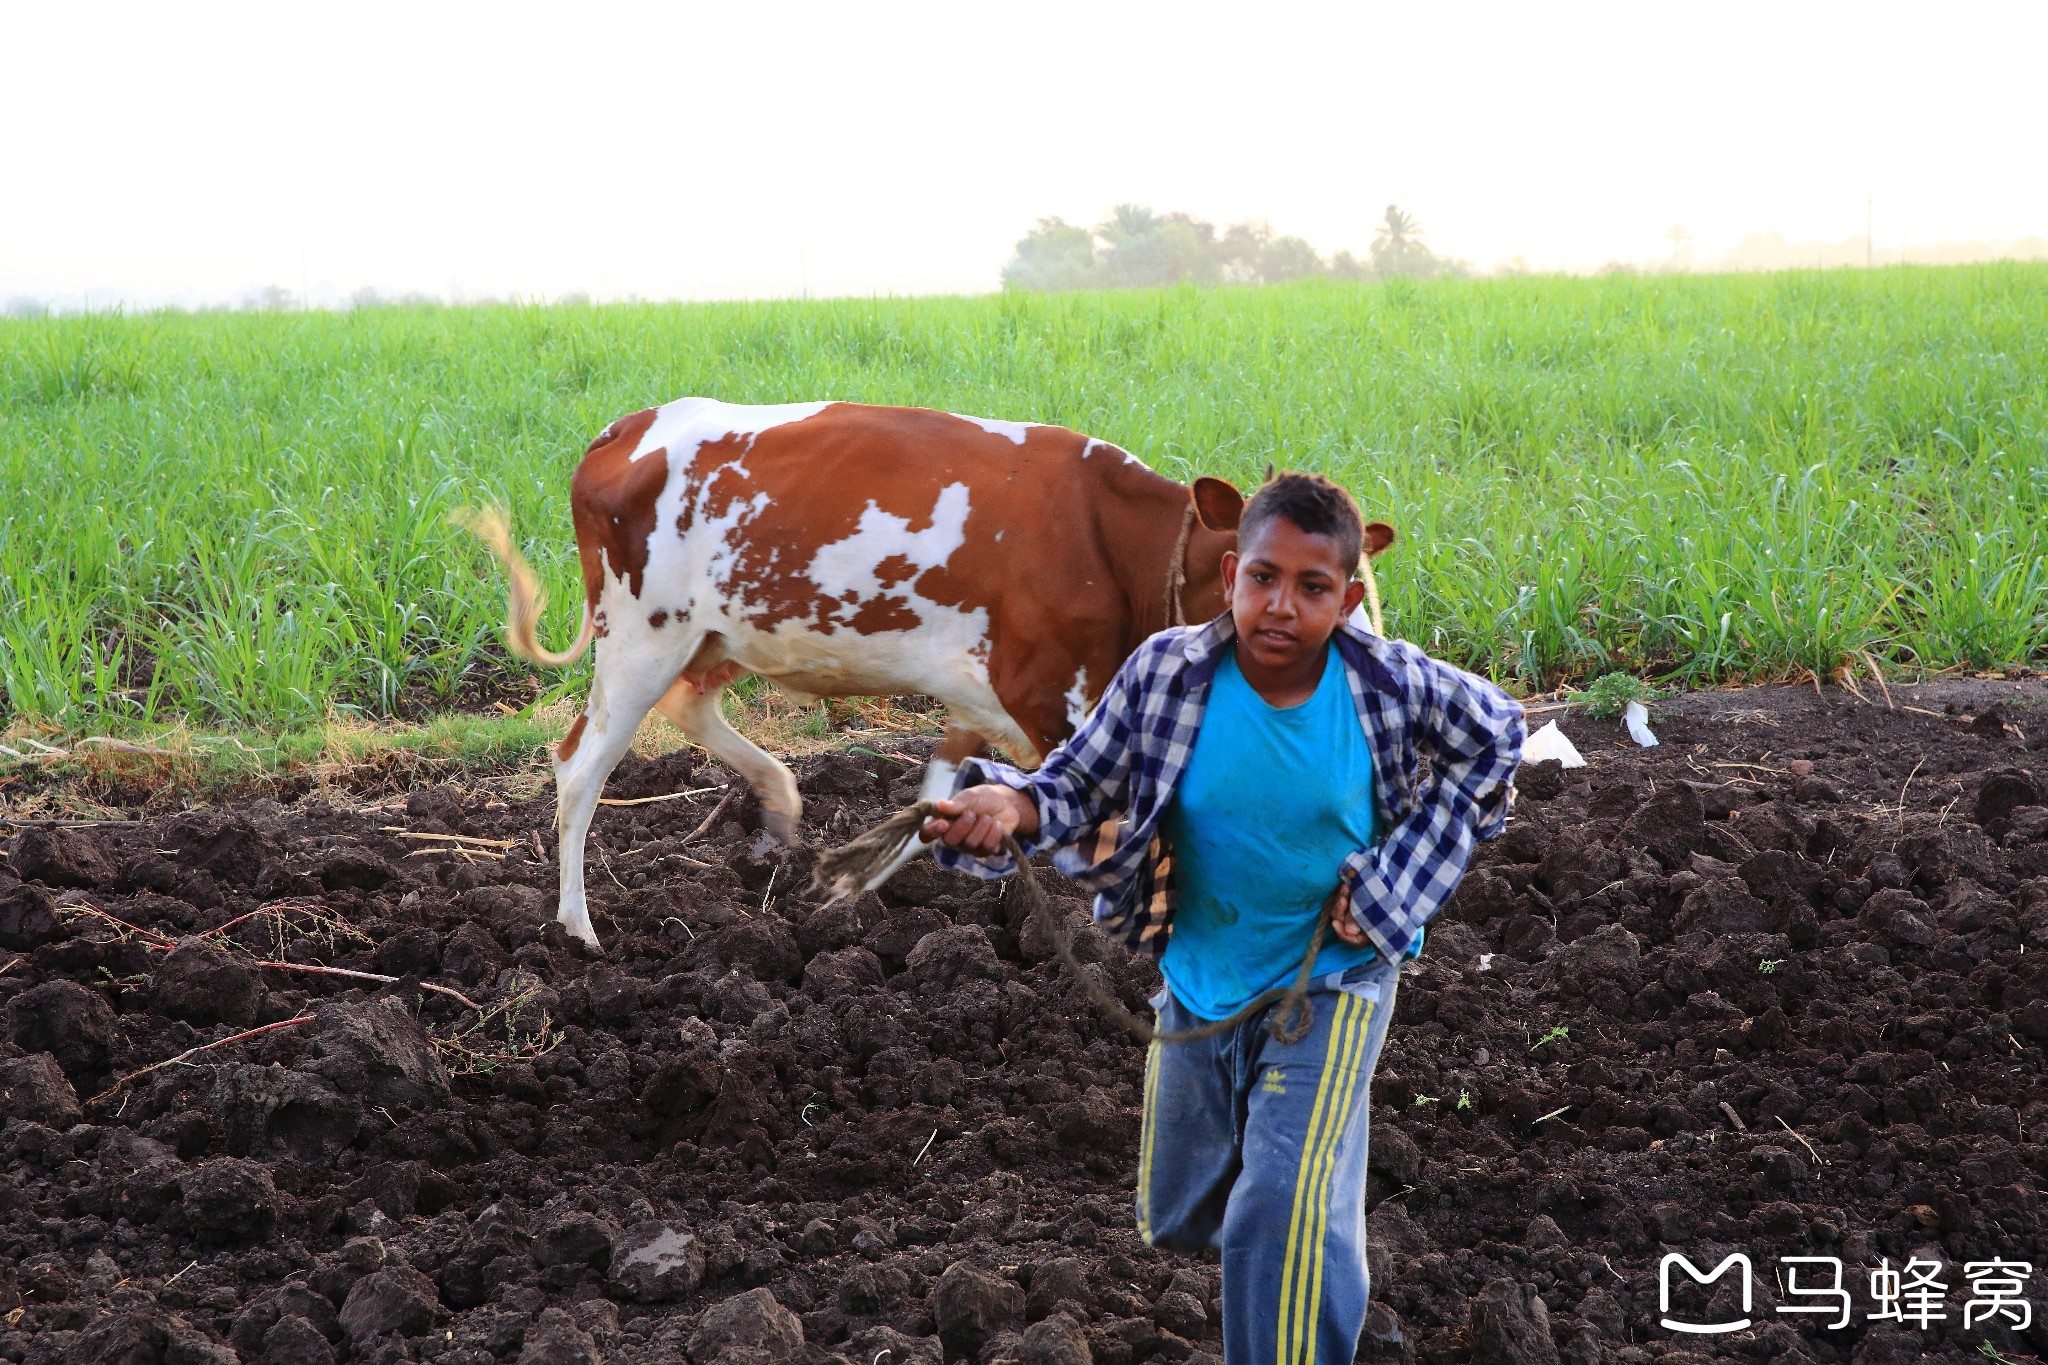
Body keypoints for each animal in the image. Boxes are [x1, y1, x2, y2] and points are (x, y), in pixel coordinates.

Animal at [468, 401, 1245, 945]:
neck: (1109, 537)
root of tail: (629, 425)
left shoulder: (981, 699)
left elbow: (936, 801)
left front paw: (853, 888)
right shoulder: (1049, 697)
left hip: (718, 637)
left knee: (685, 710)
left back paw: (780, 797)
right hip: (644, 636)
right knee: (581, 766)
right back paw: (578, 929)